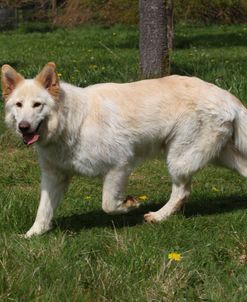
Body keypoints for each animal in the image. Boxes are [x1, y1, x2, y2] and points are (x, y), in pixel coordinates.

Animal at [1, 62, 247, 237]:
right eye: (19, 105)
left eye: (37, 105)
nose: (23, 127)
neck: (70, 122)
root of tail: (227, 96)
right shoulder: (54, 176)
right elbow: (43, 210)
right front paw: (32, 235)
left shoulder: (119, 164)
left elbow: (108, 204)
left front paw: (130, 204)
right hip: (217, 157)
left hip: (179, 159)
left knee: (181, 192)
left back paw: (158, 216)